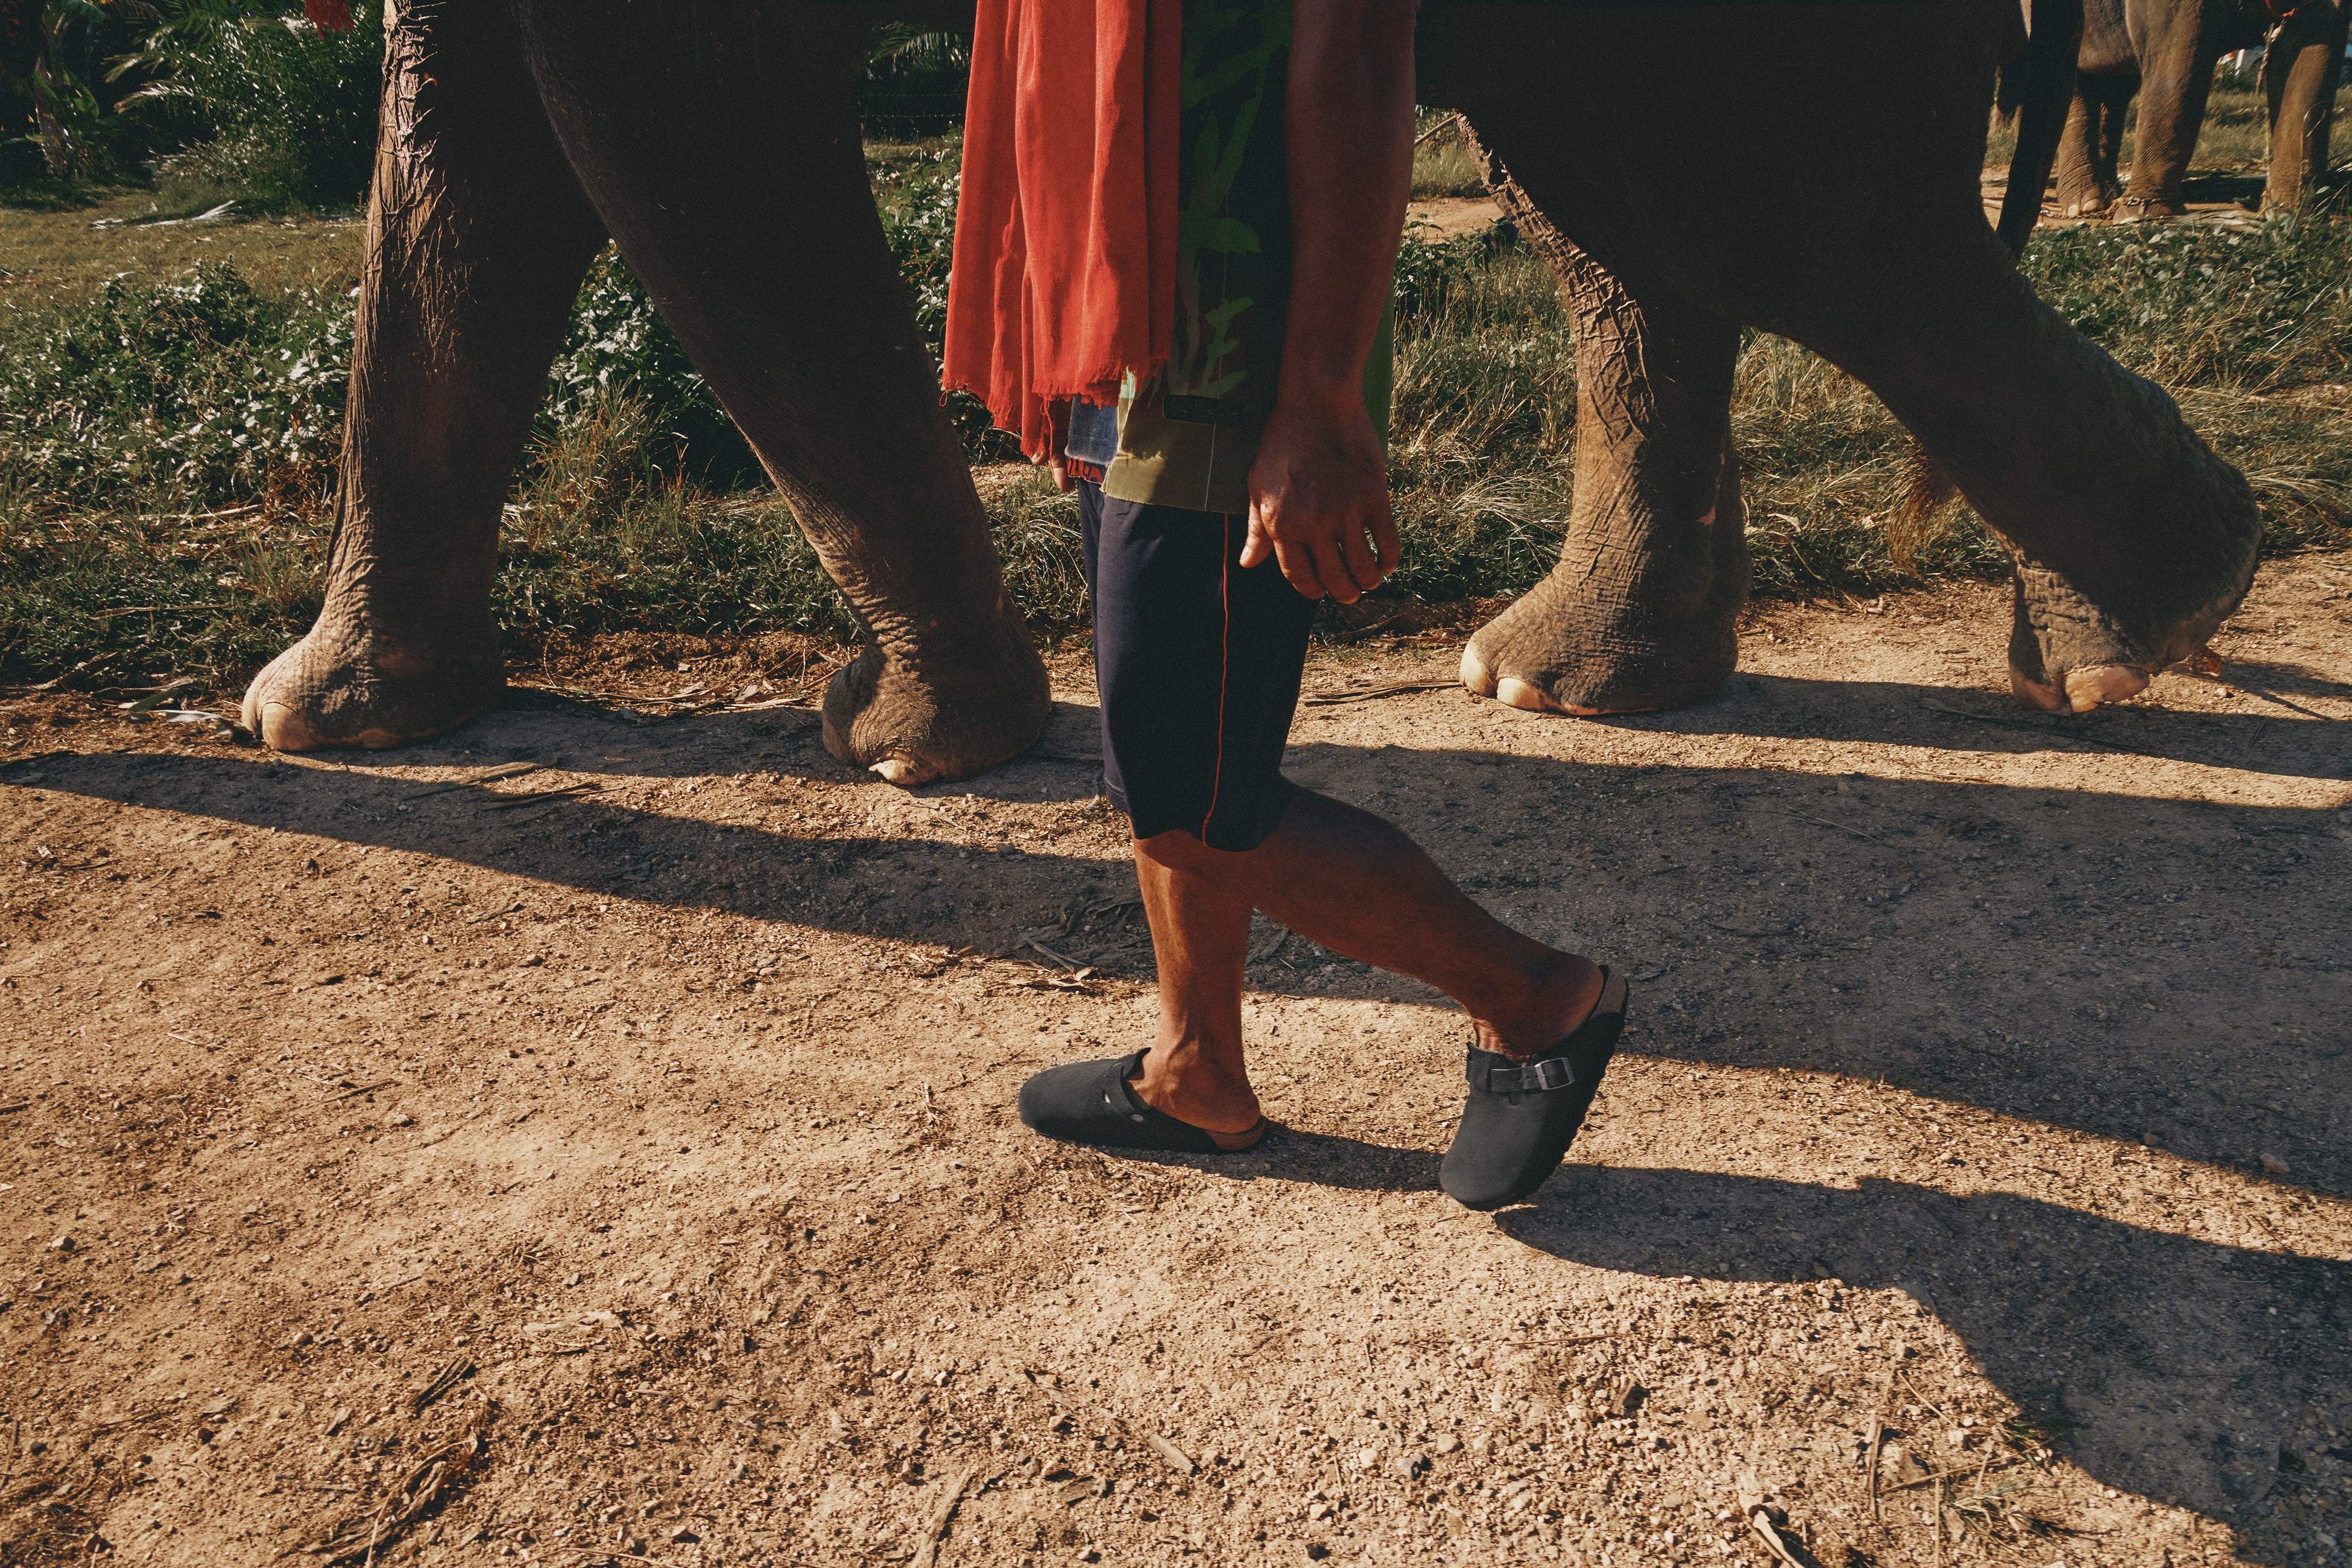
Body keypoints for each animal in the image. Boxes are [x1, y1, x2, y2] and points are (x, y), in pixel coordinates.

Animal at [240, 0, 2264, 780]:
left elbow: (650, 112)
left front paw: (904, 752)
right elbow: (469, 150)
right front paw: (325, 725)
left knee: (1773, 223)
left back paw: (2161, 616)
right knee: (1632, 224)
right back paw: (1565, 685)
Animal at [2055, 0, 2348, 219]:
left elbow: (2312, 47)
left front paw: (2289, 212)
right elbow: (2177, 54)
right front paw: (2144, 215)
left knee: (2114, 88)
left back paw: (2105, 197)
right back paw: (2086, 206)